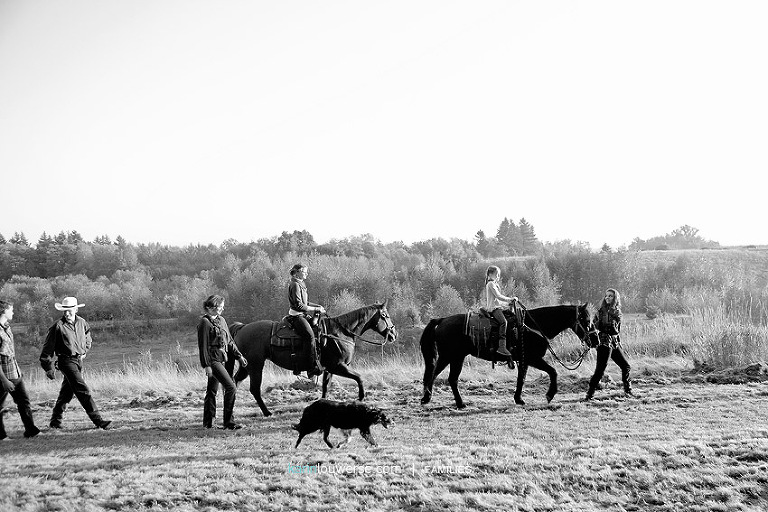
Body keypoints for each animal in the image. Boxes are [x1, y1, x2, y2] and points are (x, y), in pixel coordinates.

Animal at [231, 302, 398, 417]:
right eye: (386, 315)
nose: (393, 335)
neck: (340, 333)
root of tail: (242, 327)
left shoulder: (329, 369)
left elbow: (325, 387)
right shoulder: (339, 366)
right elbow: (359, 377)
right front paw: (361, 399)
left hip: (246, 366)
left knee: (234, 382)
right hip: (256, 366)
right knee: (254, 389)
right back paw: (266, 412)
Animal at [420, 303, 598, 408]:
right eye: (585, 319)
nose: (596, 340)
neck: (533, 326)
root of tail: (442, 320)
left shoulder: (524, 360)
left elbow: (522, 379)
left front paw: (518, 399)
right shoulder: (533, 358)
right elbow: (553, 372)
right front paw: (549, 395)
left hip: (454, 357)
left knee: (444, 377)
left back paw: (438, 399)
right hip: (451, 356)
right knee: (440, 376)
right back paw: (444, 400)